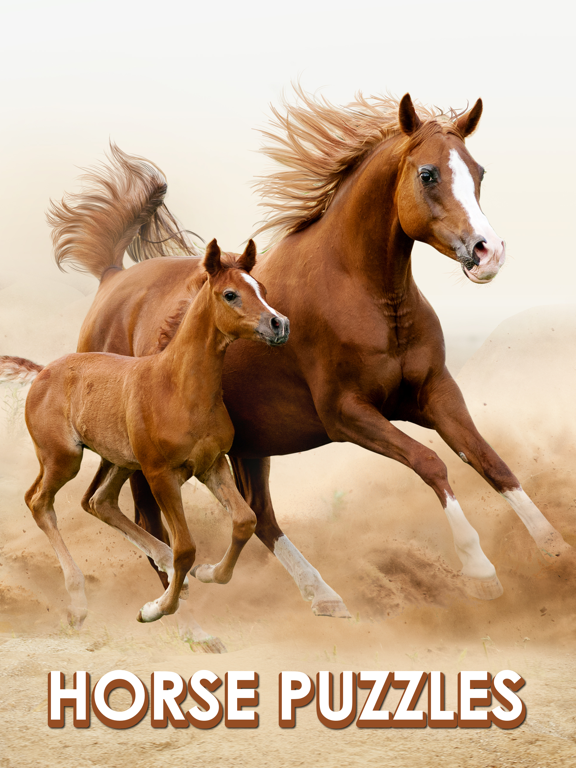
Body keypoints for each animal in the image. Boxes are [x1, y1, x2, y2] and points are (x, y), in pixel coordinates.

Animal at [22, 234, 289, 628]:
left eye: (262, 288)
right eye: (230, 294)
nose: (279, 324)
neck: (178, 389)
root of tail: (42, 372)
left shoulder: (212, 465)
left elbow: (244, 520)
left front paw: (209, 573)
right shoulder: (161, 475)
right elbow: (186, 548)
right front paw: (156, 608)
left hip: (121, 461)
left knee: (99, 501)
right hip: (64, 458)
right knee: (40, 502)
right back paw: (78, 600)